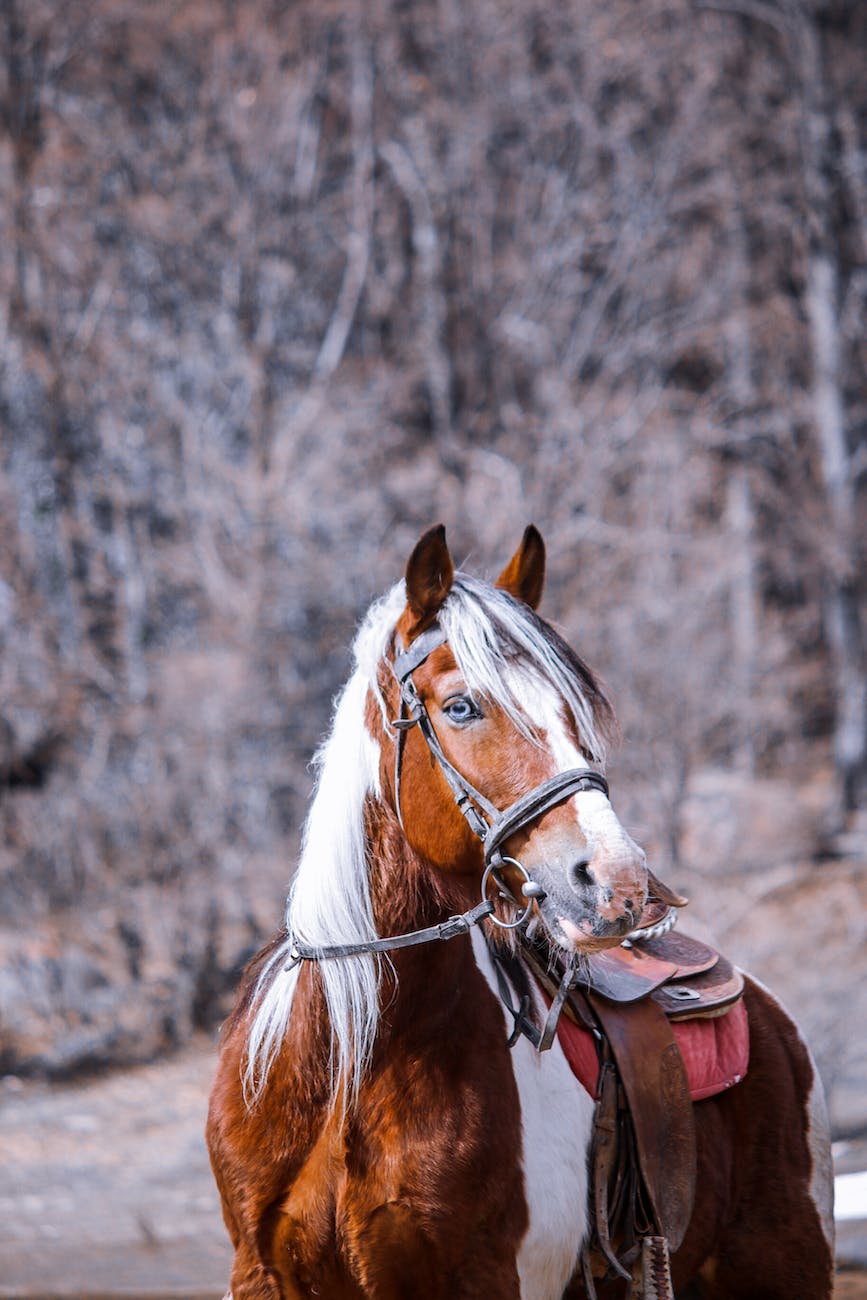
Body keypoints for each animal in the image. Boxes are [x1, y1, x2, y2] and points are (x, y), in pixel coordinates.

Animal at [207, 524, 835, 1300]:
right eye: (460, 707)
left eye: (571, 710)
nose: (621, 882)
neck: (348, 1066)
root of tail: (771, 1014)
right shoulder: (260, 1274)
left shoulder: (482, 1276)